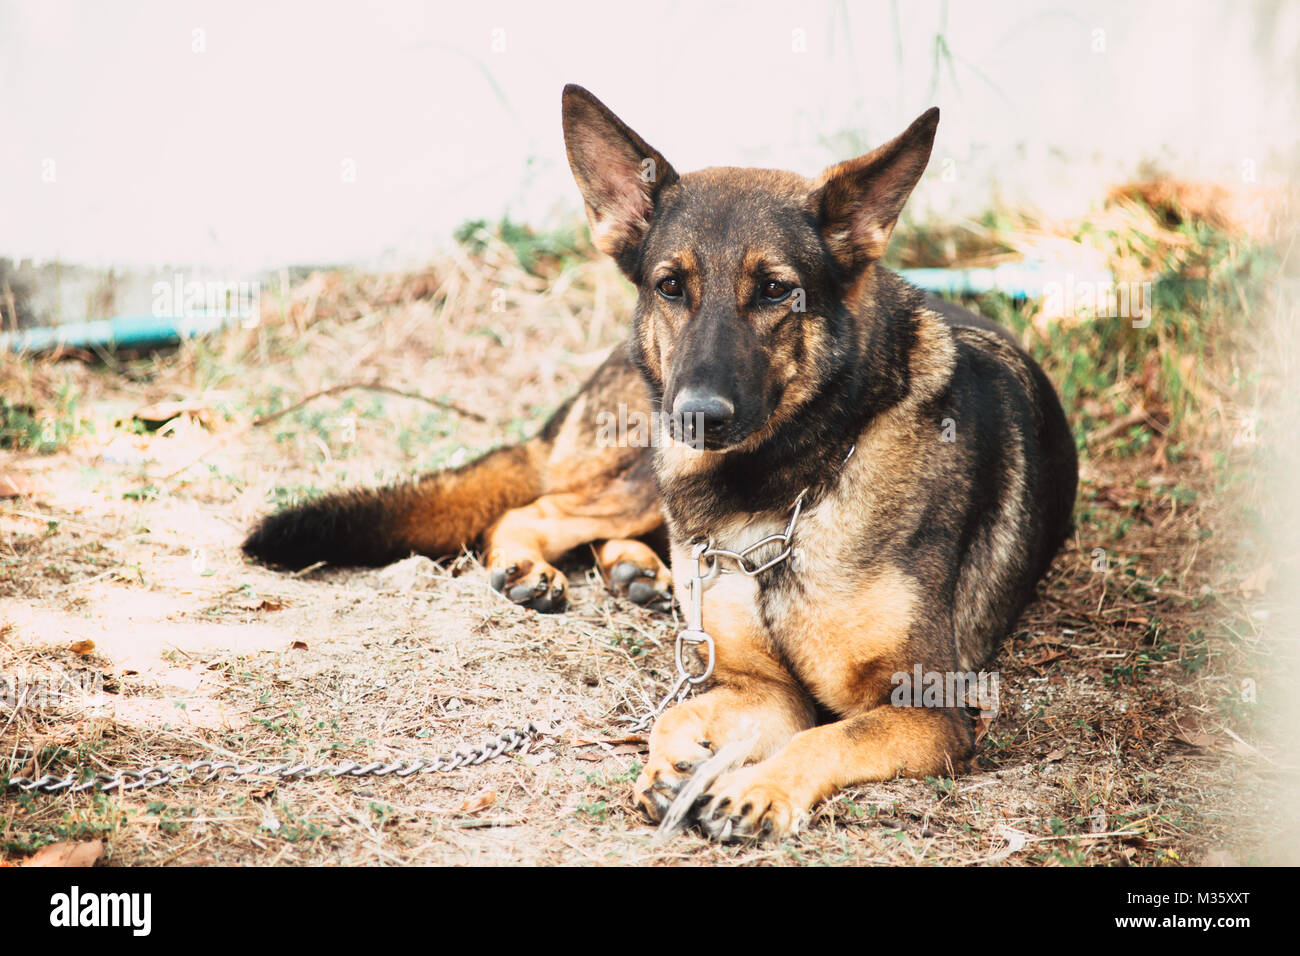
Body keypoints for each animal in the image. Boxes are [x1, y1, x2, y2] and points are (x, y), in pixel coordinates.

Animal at [244, 85, 1076, 842]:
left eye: (776, 291)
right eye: (671, 285)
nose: (698, 415)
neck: (787, 493)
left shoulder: (923, 710)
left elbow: (831, 732)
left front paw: (756, 787)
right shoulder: (757, 683)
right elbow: (678, 714)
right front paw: (676, 764)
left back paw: (635, 572)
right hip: (646, 464)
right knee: (538, 508)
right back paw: (543, 568)